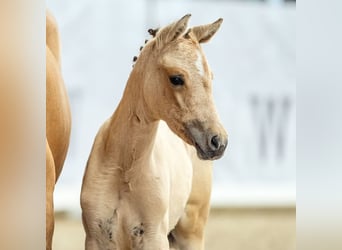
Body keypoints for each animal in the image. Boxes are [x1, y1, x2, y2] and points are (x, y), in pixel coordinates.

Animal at [81, 14, 227, 249]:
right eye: (176, 78)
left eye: (211, 77)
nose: (218, 141)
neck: (125, 171)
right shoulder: (97, 239)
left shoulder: (154, 238)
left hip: (192, 232)